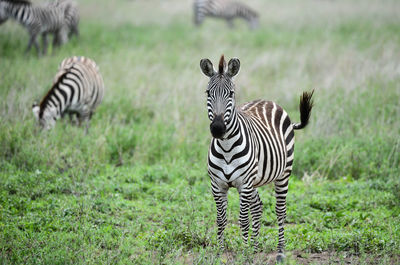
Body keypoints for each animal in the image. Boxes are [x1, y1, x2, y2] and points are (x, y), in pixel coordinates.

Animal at [199, 54, 312, 260]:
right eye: (208, 92)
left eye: (231, 94)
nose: (218, 129)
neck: (226, 148)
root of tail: (268, 101)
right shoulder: (217, 185)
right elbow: (221, 219)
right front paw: (220, 252)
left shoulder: (244, 184)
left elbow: (243, 219)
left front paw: (244, 253)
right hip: (255, 181)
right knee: (258, 206)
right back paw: (255, 247)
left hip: (283, 173)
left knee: (280, 211)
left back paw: (280, 252)